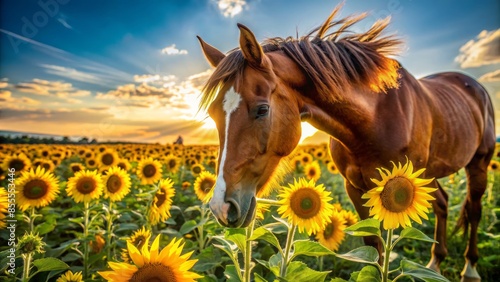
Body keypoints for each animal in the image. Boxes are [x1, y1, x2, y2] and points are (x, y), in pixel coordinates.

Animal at [197, 4, 494, 282]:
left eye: (262, 109)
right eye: (213, 113)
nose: (221, 207)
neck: (373, 121)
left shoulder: (396, 188)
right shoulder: (355, 188)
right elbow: (374, 244)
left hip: (477, 164)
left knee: (474, 210)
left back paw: (470, 268)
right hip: (428, 173)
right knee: (443, 202)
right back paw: (434, 264)